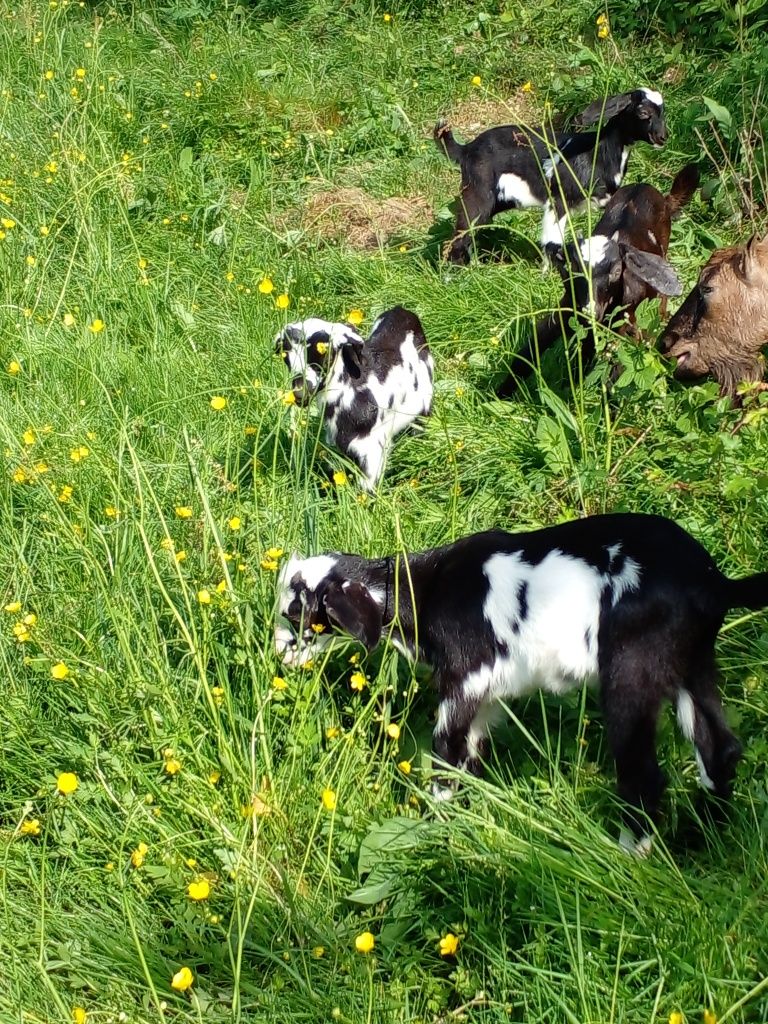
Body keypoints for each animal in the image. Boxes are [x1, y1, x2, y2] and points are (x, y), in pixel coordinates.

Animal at [274, 516, 765, 851]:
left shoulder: (464, 680)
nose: (279, 654)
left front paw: (436, 829)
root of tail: (715, 583)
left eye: (298, 616)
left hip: (632, 672)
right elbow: (470, 757)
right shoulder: (486, 697)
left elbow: (446, 754)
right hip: (690, 666)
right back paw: (707, 837)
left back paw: (627, 856)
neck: (422, 589)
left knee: (644, 775)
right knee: (718, 749)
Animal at [434, 88, 667, 264]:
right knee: (462, 229)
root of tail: (466, 149)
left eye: (663, 112)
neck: (596, 152)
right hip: (478, 191)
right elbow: (552, 242)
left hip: (498, 199)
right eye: (643, 113)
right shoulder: (559, 199)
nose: (663, 136)